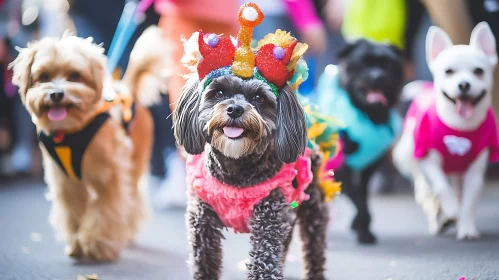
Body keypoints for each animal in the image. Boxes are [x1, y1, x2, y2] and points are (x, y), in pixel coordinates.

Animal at [9, 27, 169, 262]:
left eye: (74, 76)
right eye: (44, 77)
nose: (56, 94)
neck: (71, 130)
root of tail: (129, 90)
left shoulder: (109, 178)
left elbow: (104, 211)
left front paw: (97, 245)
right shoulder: (66, 182)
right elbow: (74, 212)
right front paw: (77, 244)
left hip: (134, 166)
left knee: (132, 201)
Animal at [324, 38, 406, 243]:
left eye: (387, 64)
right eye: (362, 64)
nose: (377, 76)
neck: (369, 116)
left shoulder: (370, 167)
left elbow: (363, 195)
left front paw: (362, 228)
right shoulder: (342, 167)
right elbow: (359, 200)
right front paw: (363, 228)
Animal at [396, 22, 498, 241]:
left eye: (478, 71)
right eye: (448, 71)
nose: (464, 84)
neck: (460, 127)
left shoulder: (475, 173)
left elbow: (468, 202)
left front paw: (466, 228)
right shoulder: (428, 161)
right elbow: (442, 187)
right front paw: (451, 210)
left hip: (458, 174)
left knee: (455, 191)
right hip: (412, 162)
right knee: (428, 192)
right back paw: (439, 219)